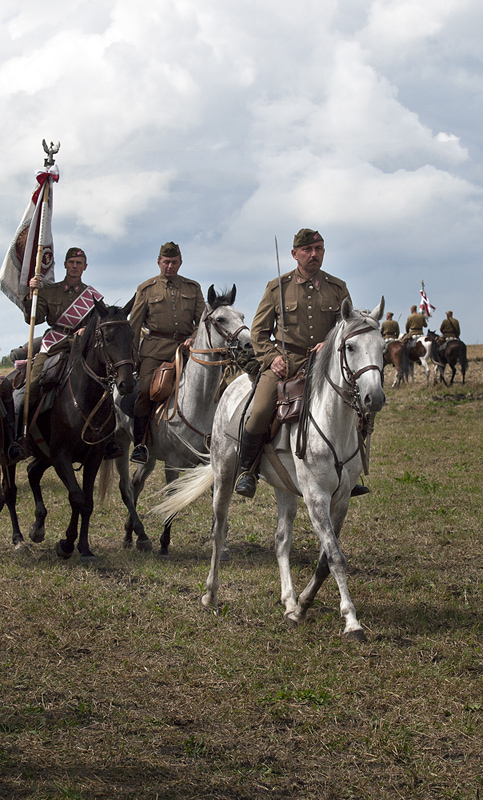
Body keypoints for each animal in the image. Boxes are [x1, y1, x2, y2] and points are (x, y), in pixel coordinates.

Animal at [17, 297, 137, 558]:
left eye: (132, 336)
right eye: (108, 337)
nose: (127, 384)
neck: (85, 399)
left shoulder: (94, 456)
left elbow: (87, 502)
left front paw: (83, 546)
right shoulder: (61, 455)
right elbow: (76, 497)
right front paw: (67, 543)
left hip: (44, 455)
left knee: (32, 471)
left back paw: (37, 527)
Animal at [107, 284, 252, 556]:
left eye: (242, 316)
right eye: (220, 319)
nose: (249, 345)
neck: (198, 401)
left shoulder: (212, 460)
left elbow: (218, 497)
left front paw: (221, 544)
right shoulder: (173, 464)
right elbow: (171, 496)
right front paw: (164, 542)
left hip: (150, 455)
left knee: (137, 484)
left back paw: (132, 534)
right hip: (121, 443)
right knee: (126, 487)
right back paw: (139, 535)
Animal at [152, 298, 386, 640]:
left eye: (383, 346)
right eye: (351, 346)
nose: (374, 397)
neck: (334, 424)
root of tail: (233, 384)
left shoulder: (340, 500)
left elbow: (324, 560)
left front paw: (301, 606)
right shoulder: (316, 498)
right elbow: (336, 557)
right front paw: (352, 621)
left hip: (285, 489)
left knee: (281, 540)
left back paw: (288, 599)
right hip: (224, 476)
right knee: (218, 531)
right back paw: (211, 594)